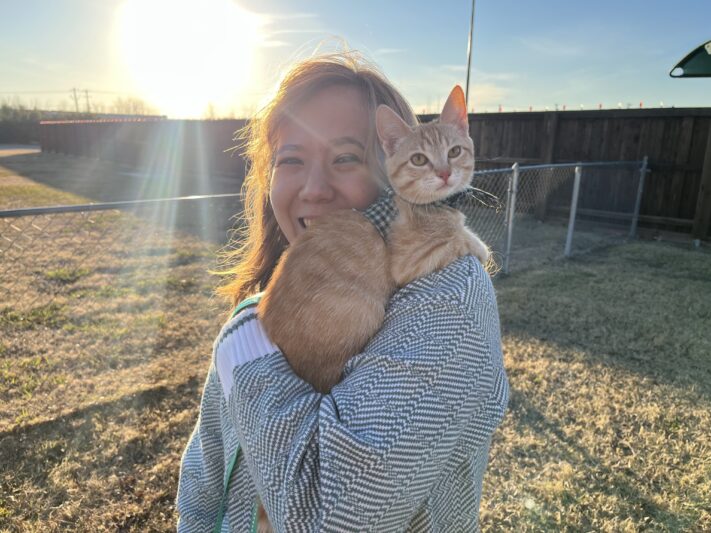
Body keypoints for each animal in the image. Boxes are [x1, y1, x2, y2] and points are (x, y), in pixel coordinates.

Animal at [260, 86, 490, 390]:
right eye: (419, 159)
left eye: (454, 152)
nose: (444, 173)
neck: (432, 206)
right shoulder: (412, 260)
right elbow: (457, 240)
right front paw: (480, 247)